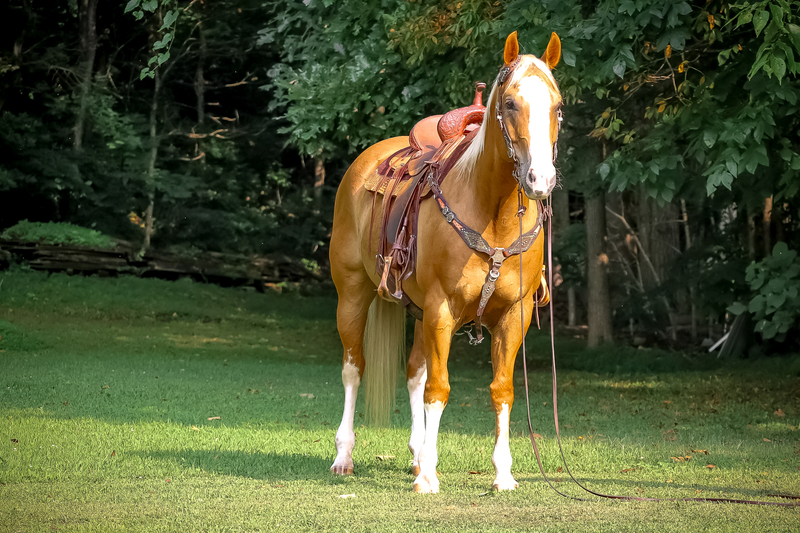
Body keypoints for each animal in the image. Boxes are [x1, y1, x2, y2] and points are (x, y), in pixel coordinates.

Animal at [328, 31, 560, 492]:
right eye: (510, 103)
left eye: (558, 105)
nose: (539, 180)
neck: (492, 213)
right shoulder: (441, 309)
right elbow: (439, 389)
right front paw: (429, 478)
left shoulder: (515, 315)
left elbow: (501, 389)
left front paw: (502, 474)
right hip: (353, 295)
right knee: (354, 368)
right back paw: (345, 456)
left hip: (416, 311)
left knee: (414, 371)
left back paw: (418, 453)